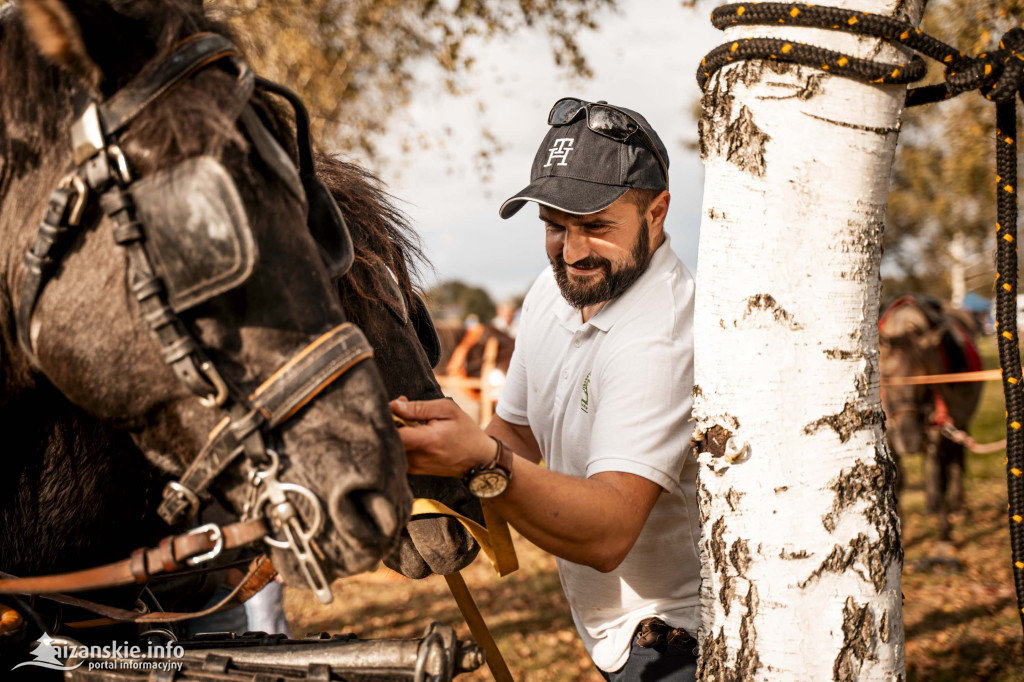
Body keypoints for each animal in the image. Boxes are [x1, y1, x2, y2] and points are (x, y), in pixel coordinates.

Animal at [876, 294, 978, 540]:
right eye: (886, 377)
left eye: (926, 378)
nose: (909, 440)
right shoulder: (890, 437)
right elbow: (899, 480)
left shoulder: (938, 430)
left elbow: (939, 477)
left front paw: (944, 533)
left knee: (954, 462)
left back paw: (957, 507)